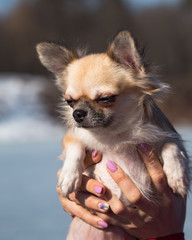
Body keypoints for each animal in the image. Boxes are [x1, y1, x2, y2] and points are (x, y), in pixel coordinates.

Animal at [36, 31, 191, 239]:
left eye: (105, 99)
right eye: (70, 102)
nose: (77, 114)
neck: (115, 134)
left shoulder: (168, 135)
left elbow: (171, 146)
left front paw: (177, 176)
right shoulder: (71, 136)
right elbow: (75, 146)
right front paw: (69, 176)